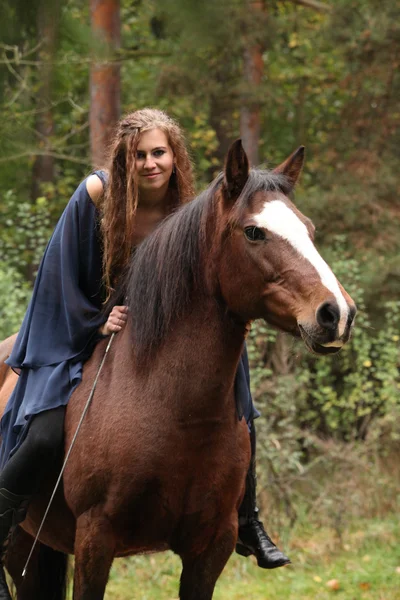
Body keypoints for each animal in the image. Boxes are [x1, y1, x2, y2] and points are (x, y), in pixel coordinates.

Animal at [0, 142, 356, 600]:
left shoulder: (212, 547)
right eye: (253, 232)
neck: (172, 409)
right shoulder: (95, 540)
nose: (337, 313)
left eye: (308, 229)